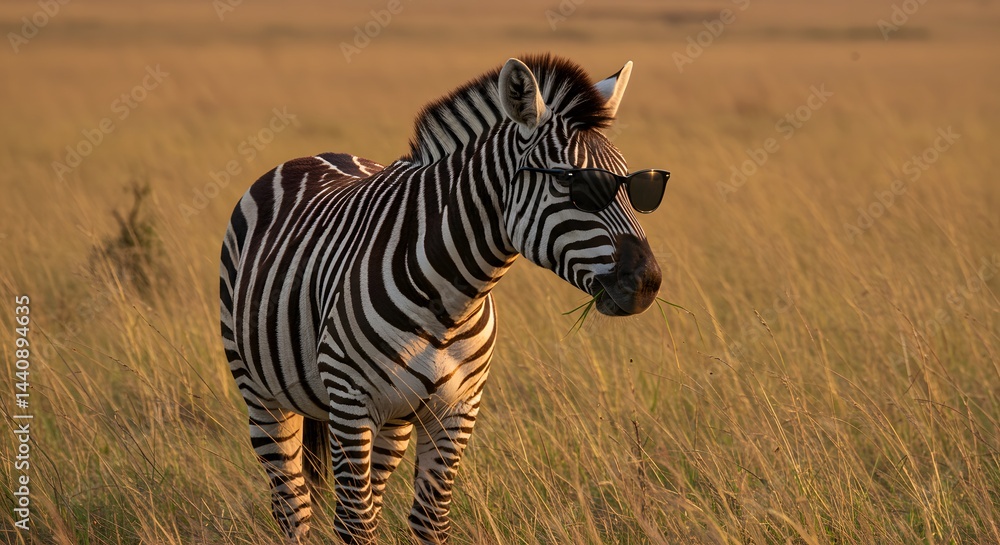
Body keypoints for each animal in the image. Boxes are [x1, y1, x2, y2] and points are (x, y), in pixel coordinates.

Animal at [219, 54, 665, 543]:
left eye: (639, 188)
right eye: (578, 187)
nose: (648, 281)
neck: (450, 303)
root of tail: (311, 155)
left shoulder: (456, 411)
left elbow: (429, 521)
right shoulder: (352, 404)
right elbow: (354, 523)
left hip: (395, 419)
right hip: (262, 395)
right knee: (293, 505)